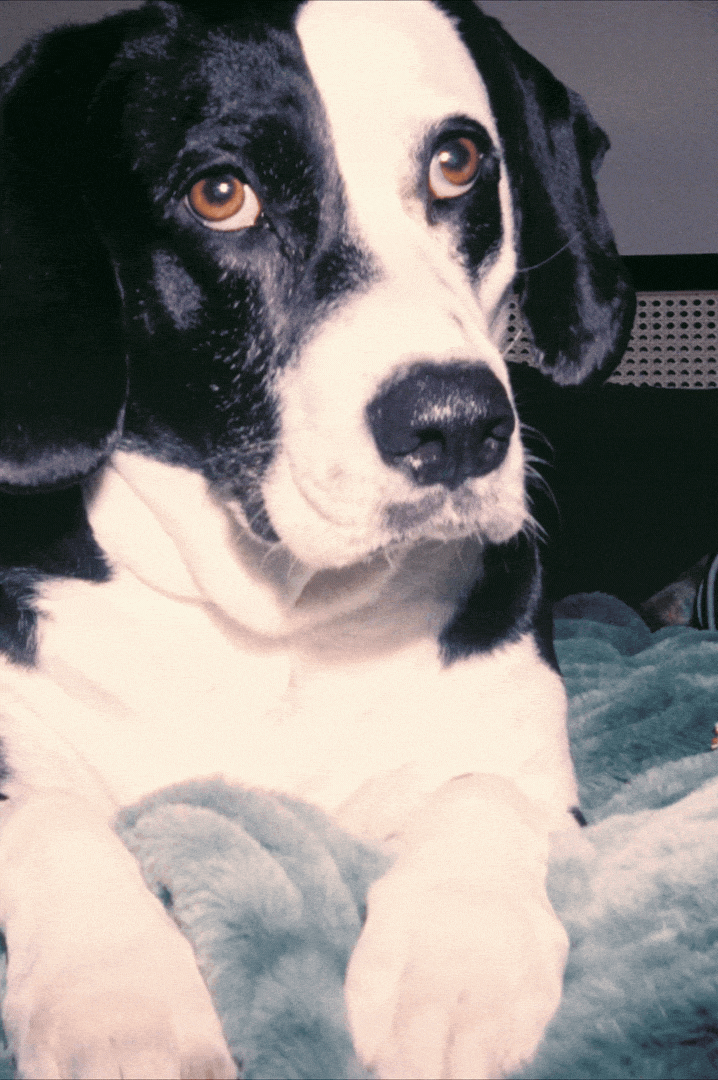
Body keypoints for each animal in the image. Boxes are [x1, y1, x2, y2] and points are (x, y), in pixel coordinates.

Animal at [0, 2, 635, 1077]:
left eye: (459, 164)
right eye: (220, 194)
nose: (459, 424)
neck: (281, 621)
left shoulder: (536, 773)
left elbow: (485, 790)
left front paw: (453, 964)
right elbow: (47, 815)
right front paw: (115, 1002)